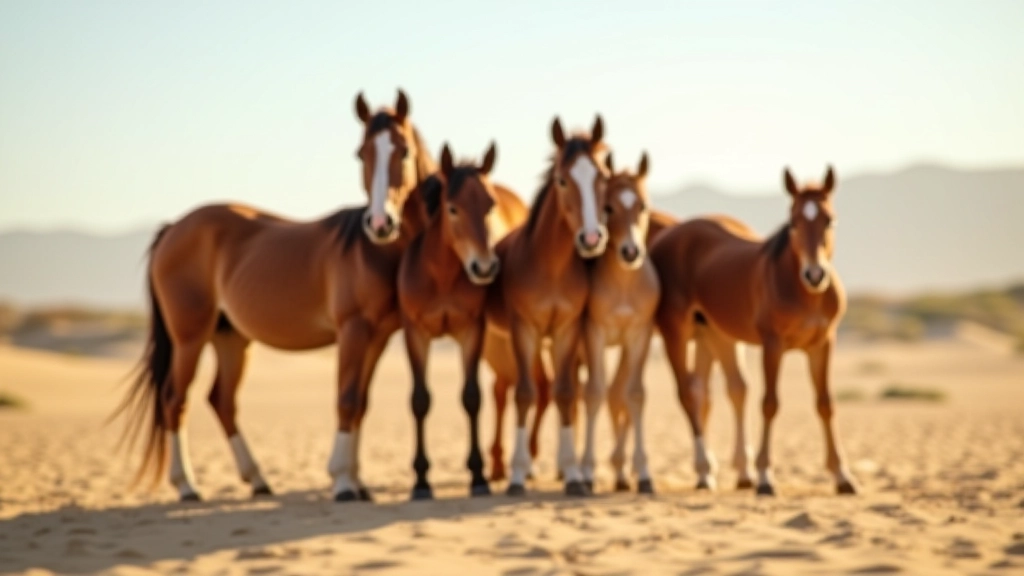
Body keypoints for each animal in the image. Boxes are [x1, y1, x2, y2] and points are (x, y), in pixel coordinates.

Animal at [114, 90, 437, 502]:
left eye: (404, 150)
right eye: (361, 153)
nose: (380, 223)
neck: (373, 251)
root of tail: (174, 228)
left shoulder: (377, 337)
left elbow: (361, 403)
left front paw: (358, 482)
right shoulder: (353, 331)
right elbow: (347, 399)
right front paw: (342, 482)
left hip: (231, 338)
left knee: (221, 401)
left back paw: (258, 480)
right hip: (190, 338)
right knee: (175, 401)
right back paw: (187, 486)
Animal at [397, 142, 528, 500]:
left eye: (490, 205)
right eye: (452, 208)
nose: (484, 268)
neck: (441, 278)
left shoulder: (473, 331)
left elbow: (472, 398)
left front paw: (478, 477)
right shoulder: (415, 334)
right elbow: (419, 400)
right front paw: (421, 481)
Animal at [486, 115, 610, 496]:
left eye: (603, 177)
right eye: (562, 180)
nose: (591, 239)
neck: (550, 267)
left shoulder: (567, 330)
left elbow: (565, 393)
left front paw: (572, 475)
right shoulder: (523, 330)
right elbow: (523, 394)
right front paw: (515, 476)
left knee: (552, 390)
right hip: (502, 348)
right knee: (503, 392)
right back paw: (502, 466)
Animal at [650, 166, 858, 496]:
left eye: (830, 220)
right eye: (794, 222)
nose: (815, 274)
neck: (803, 292)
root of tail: (667, 236)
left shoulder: (823, 344)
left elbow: (826, 404)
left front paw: (842, 476)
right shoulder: (773, 345)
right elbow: (770, 403)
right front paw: (765, 476)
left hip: (713, 335)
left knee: (716, 391)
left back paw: (722, 473)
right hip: (676, 333)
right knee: (687, 394)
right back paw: (704, 470)